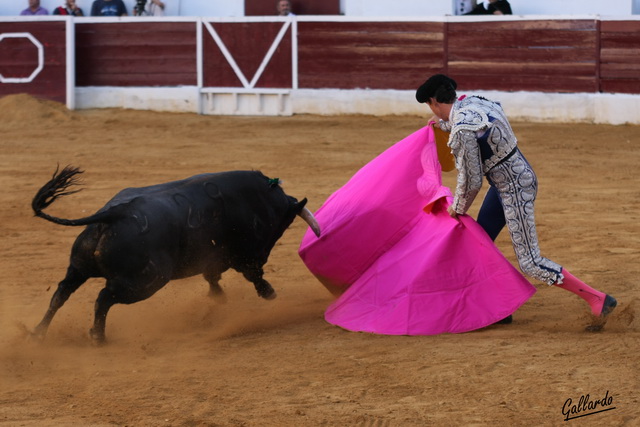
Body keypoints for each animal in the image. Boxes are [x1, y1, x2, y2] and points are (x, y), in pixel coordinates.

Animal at [30, 167, 320, 344]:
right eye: (282, 226)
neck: (261, 200)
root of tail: (114, 214)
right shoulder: (246, 254)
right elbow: (252, 273)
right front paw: (268, 293)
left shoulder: (215, 258)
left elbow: (212, 277)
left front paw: (218, 297)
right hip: (147, 282)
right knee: (103, 298)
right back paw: (97, 337)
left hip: (78, 267)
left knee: (61, 294)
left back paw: (37, 333)